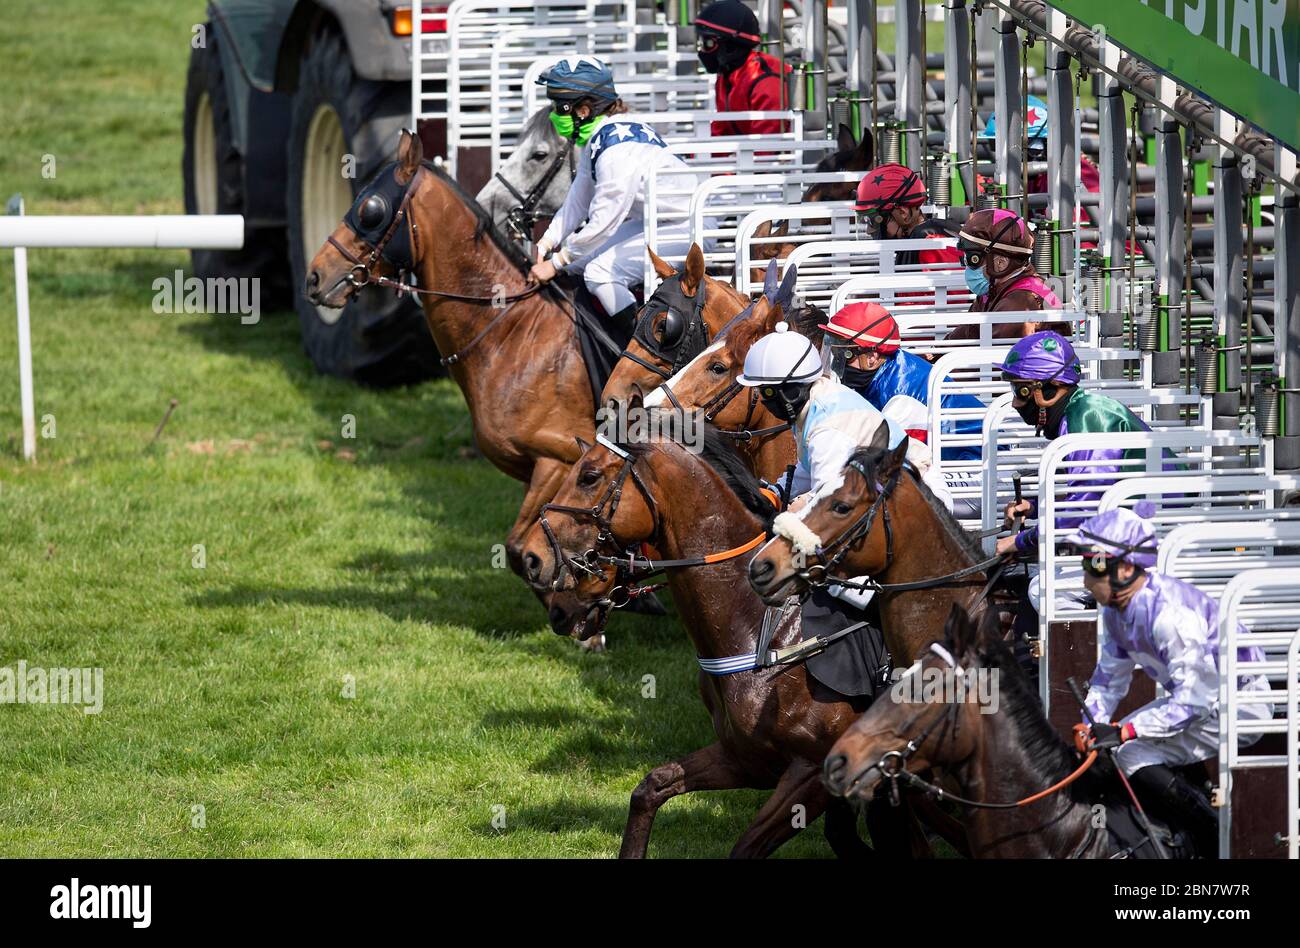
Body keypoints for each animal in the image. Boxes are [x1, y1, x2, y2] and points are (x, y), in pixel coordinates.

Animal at [512, 429, 909, 858]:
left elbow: (749, 846)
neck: (766, 634)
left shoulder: (811, 772)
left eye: (589, 476)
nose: (532, 559)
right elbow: (650, 787)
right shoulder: (743, 758)